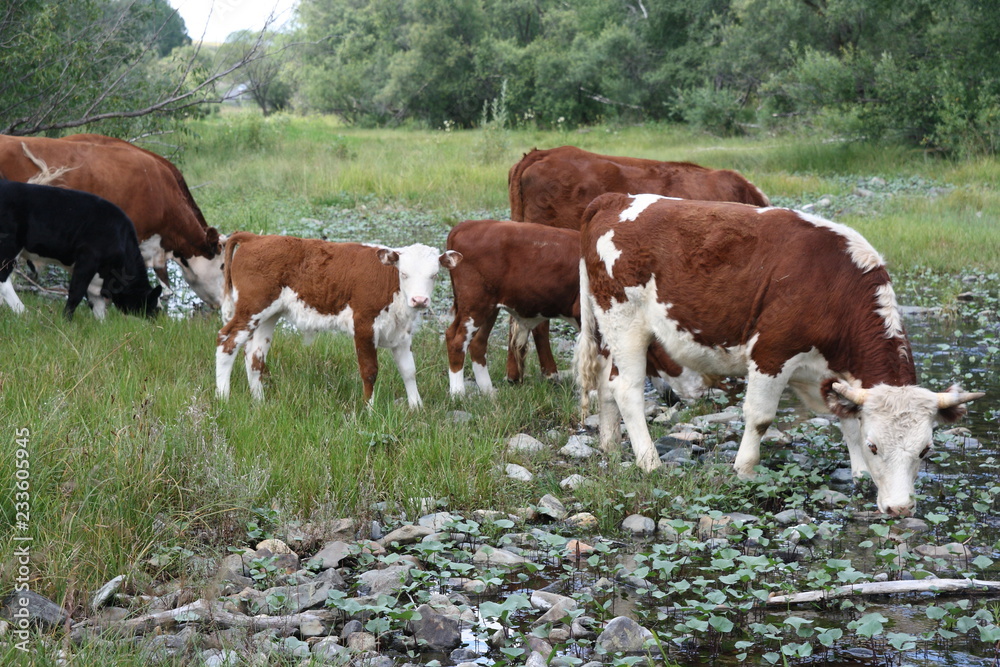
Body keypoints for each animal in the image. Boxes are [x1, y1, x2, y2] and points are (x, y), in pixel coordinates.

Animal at [0, 180, 161, 319]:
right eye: (155, 307)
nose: (154, 321)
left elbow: (97, 305)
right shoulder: (88, 260)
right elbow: (76, 294)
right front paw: (66, 321)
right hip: (8, 247)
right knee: (3, 281)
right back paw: (24, 313)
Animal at [216, 232, 462, 407]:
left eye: (434, 275)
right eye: (404, 274)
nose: (419, 300)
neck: (390, 283)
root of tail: (255, 237)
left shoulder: (401, 332)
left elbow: (408, 369)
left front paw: (416, 407)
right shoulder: (364, 325)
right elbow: (369, 371)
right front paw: (369, 410)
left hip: (268, 315)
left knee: (254, 356)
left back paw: (259, 402)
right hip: (251, 308)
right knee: (226, 342)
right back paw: (223, 397)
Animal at [445, 219, 708, 400]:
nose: (701, 391)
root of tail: (466, 225)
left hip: (488, 308)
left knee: (478, 344)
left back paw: (489, 391)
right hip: (475, 303)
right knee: (456, 339)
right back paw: (458, 394)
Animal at [576, 193, 983, 517]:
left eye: (926, 450)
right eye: (876, 446)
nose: (900, 508)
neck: (834, 285)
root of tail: (614, 198)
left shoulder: (836, 377)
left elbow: (848, 418)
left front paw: (859, 473)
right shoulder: (772, 351)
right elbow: (760, 418)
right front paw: (744, 469)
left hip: (607, 327)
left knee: (606, 383)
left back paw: (610, 446)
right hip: (625, 320)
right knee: (627, 389)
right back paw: (649, 462)